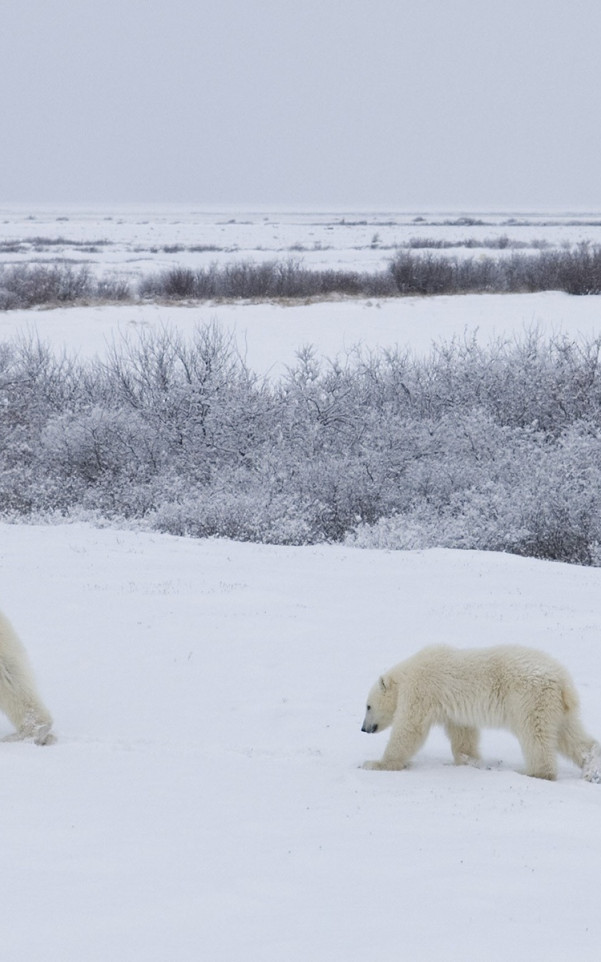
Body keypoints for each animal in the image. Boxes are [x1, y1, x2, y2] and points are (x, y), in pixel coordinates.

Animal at [360, 644, 600, 780]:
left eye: (368, 706)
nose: (363, 728)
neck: (408, 672)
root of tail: (563, 682)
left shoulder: (422, 690)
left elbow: (409, 729)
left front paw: (375, 764)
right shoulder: (454, 709)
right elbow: (463, 734)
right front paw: (469, 762)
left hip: (529, 698)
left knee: (535, 735)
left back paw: (535, 773)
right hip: (558, 708)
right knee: (571, 736)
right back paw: (591, 768)